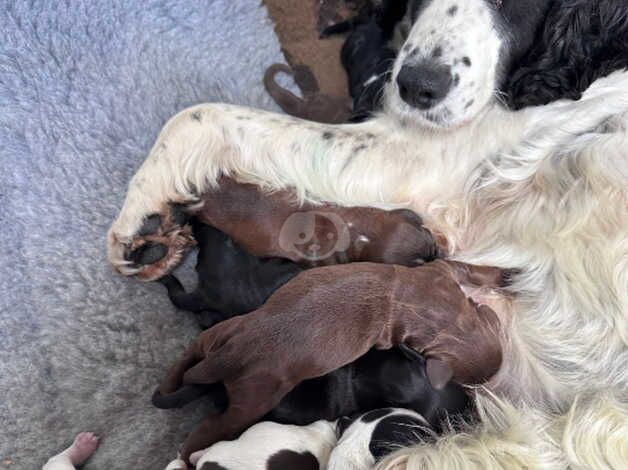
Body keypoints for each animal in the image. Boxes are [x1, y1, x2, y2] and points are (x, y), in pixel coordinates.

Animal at [158, 258, 506, 460]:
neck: (439, 312)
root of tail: (229, 357)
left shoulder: (443, 271)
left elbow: (472, 268)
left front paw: (504, 275)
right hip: (252, 398)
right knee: (207, 429)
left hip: (221, 332)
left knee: (187, 356)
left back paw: (169, 381)